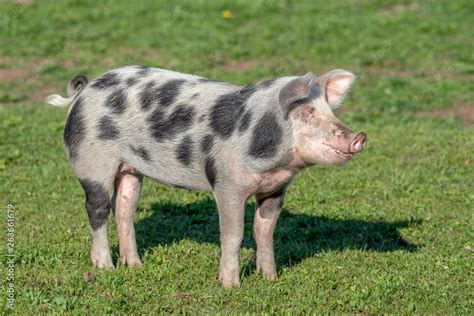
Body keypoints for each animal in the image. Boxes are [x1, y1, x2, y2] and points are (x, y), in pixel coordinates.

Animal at [46, 65, 366, 288]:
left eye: (329, 110)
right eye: (308, 112)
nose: (359, 137)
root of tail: (85, 90)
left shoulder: (276, 189)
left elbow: (265, 232)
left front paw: (270, 279)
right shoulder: (227, 185)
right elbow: (233, 234)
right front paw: (231, 285)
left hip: (130, 170)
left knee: (124, 210)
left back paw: (135, 266)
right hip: (92, 162)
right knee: (97, 209)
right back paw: (105, 268)